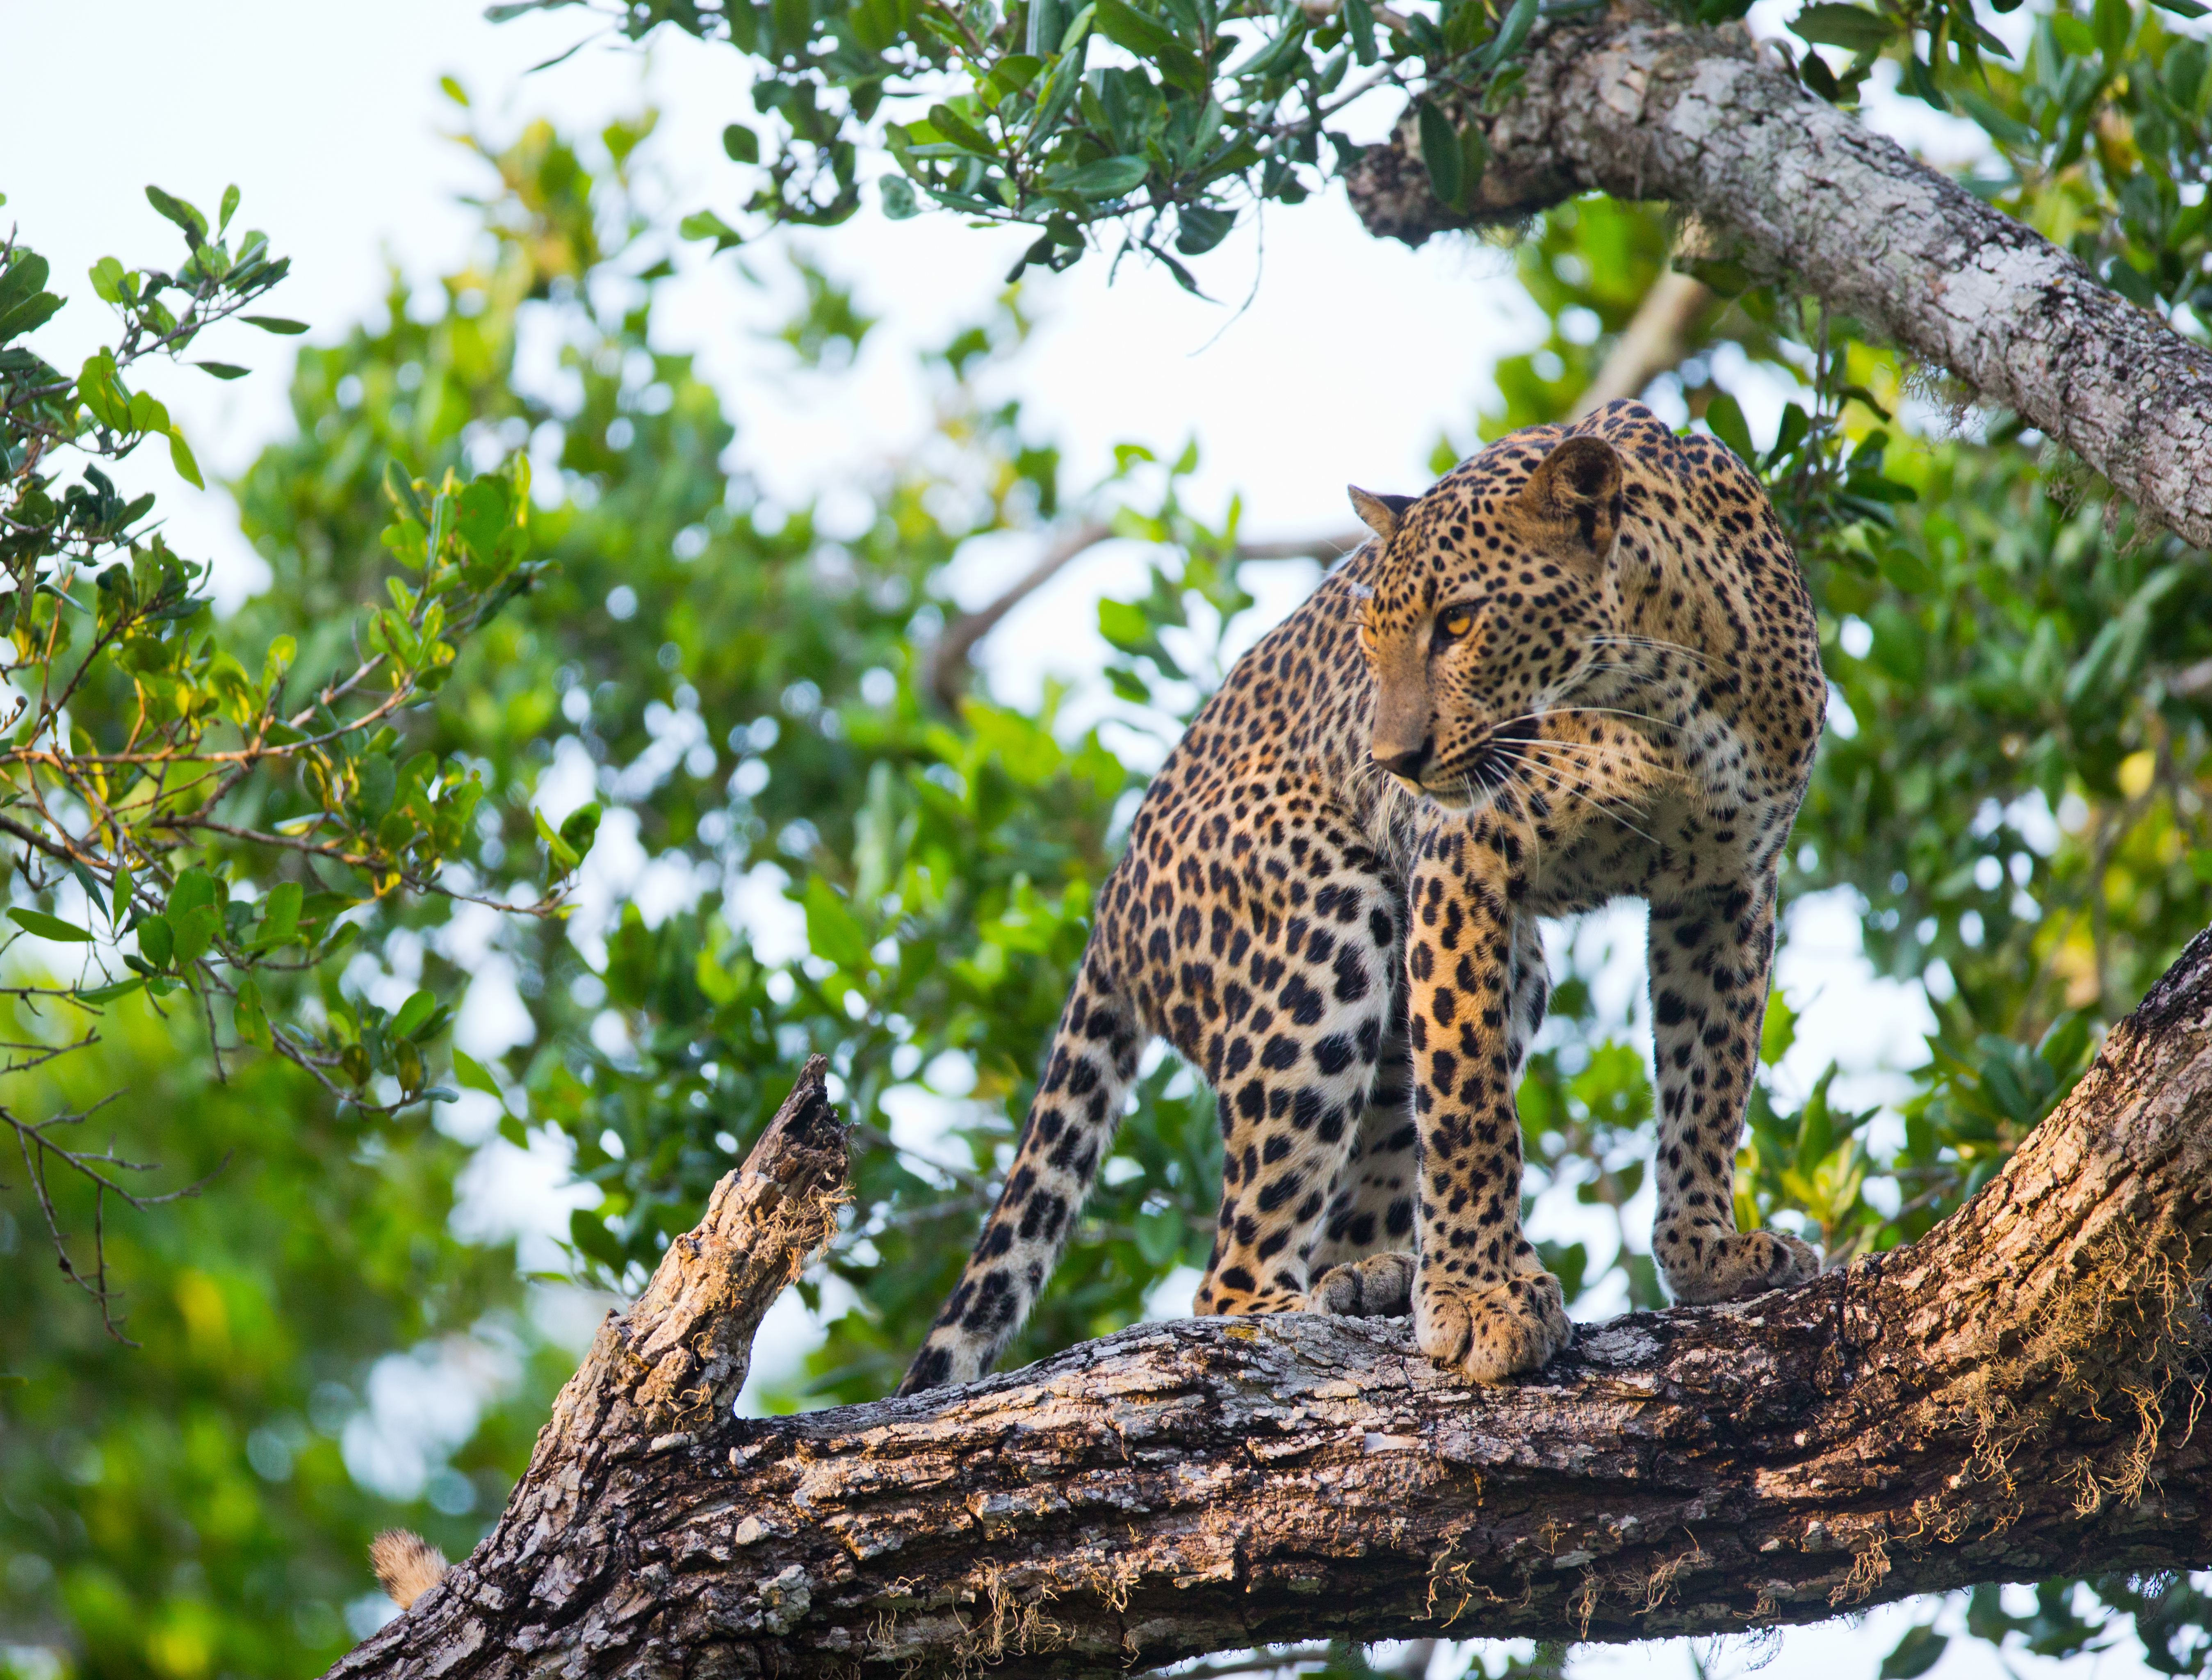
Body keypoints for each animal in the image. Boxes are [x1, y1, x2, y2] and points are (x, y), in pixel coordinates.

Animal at [898, 399, 1825, 1396]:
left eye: (1458, 622)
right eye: (1370, 642)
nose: (1394, 763)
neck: (1666, 691)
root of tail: (1110, 901)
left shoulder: (1726, 886)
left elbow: (1709, 1082)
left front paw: (1705, 1255)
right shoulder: (1463, 857)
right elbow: (1469, 1109)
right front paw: (1482, 1299)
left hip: (1500, 974)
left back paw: (1370, 1277)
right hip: (1328, 925)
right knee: (1227, 1279)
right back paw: (1304, 1305)